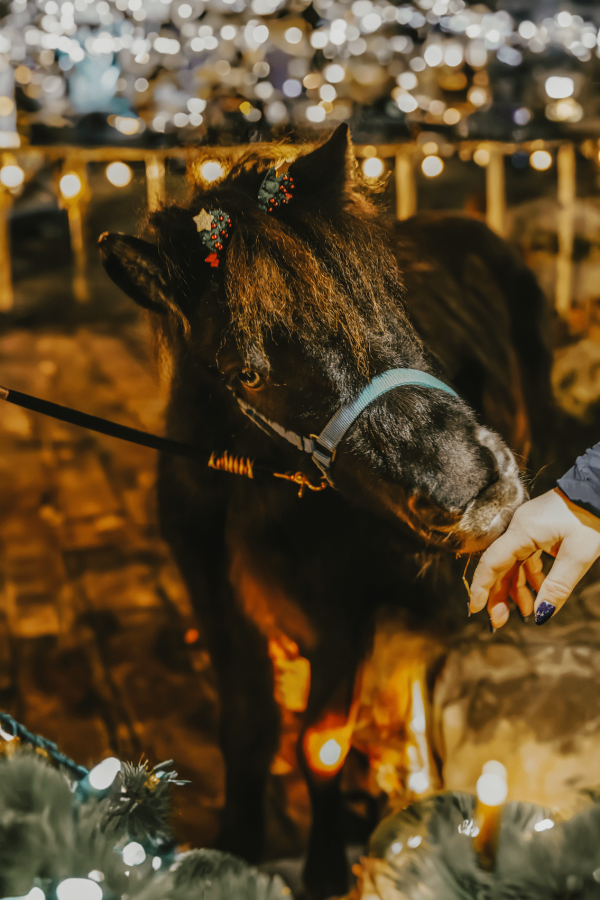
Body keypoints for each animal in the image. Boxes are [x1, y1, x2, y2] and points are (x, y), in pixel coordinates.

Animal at [98, 124, 553, 899]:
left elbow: (321, 743)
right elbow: (247, 727)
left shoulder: (343, 609)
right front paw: (236, 847)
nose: (477, 489)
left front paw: (325, 868)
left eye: (388, 302)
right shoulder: (212, 595)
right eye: (246, 372)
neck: (252, 490)